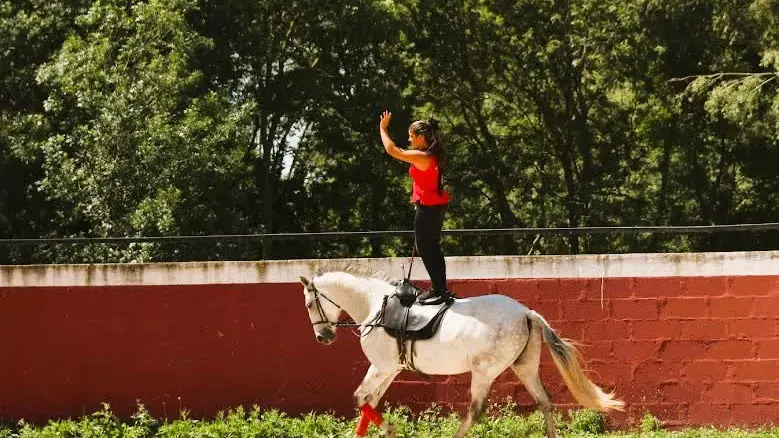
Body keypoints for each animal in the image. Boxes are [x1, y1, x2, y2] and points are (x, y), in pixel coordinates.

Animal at [299, 266, 624, 438]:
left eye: (309, 304)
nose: (322, 337)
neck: (374, 307)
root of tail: (526, 312)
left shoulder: (381, 367)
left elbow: (360, 398)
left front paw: (389, 430)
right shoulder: (390, 370)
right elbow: (370, 401)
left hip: (484, 371)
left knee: (475, 410)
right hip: (525, 366)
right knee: (544, 401)